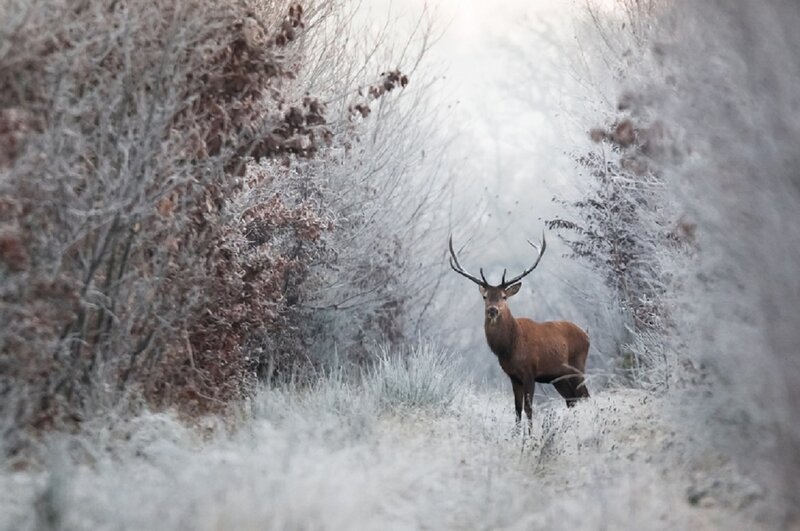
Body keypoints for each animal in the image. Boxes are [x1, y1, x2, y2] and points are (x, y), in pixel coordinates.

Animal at [448, 232, 590, 430]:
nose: (493, 310)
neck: (509, 347)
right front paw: (516, 434)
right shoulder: (513, 376)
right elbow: (516, 409)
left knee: (584, 396)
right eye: (485, 296)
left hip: (578, 366)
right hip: (559, 377)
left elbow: (528, 408)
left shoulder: (530, 371)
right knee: (572, 400)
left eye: (504, 296)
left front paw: (530, 435)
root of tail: (587, 335)